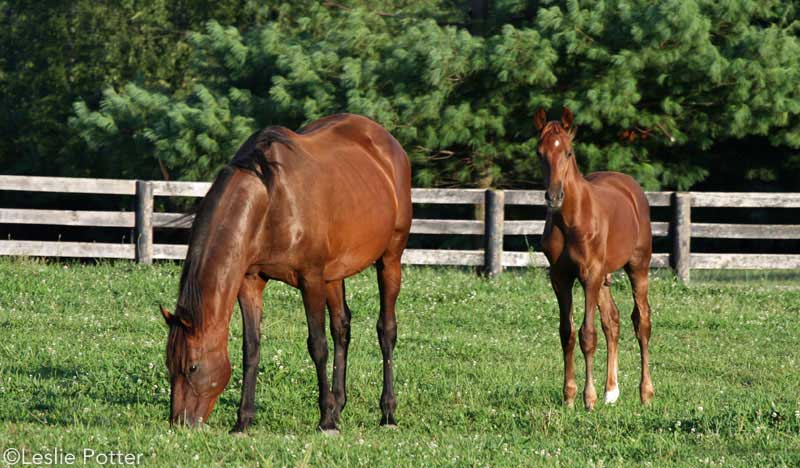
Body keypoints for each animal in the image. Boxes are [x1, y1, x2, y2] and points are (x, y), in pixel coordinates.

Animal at [159, 113, 410, 436]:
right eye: (169, 364)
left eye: (192, 366)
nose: (180, 423)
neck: (270, 202)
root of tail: (386, 141)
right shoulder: (250, 282)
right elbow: (251, 348)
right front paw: (243, 421)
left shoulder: (310, 278)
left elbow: (318, 345)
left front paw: (325, 421)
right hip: (334, 274)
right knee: (342, 327)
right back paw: (339, 403)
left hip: (390, 258)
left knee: (386, 330)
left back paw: (387, 412)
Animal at [536, 107, 652, 410]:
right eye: (539, 153)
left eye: (568, 152)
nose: (554, 196)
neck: (571, 220)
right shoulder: (561, 278)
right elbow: (567, 332)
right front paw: (569, 396)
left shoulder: (589, 274)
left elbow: (587, 335)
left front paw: (588, 399)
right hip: (603, 278)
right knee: (613, 321)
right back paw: (611, 391)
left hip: (637, 267)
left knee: (642, 322)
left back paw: (645, 393)